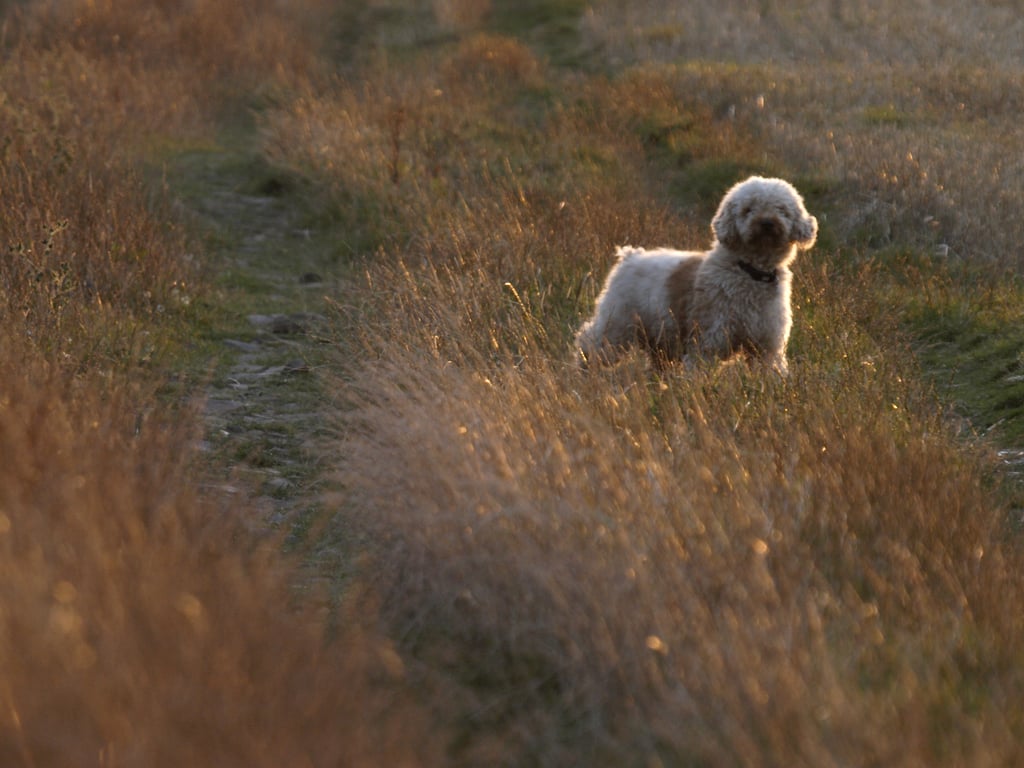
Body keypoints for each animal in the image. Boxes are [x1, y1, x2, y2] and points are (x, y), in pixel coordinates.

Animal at [577, 177, 815, 376]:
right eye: (748, 210)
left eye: (781, 210)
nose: (767, 223)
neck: (748, 271)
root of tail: (630, 256)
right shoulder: (709, 341)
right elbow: (700, 371)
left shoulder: (766, 346)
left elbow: (770, 371)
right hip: (617, 324)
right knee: (590, 341)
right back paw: (584, 371)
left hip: (659, 337)